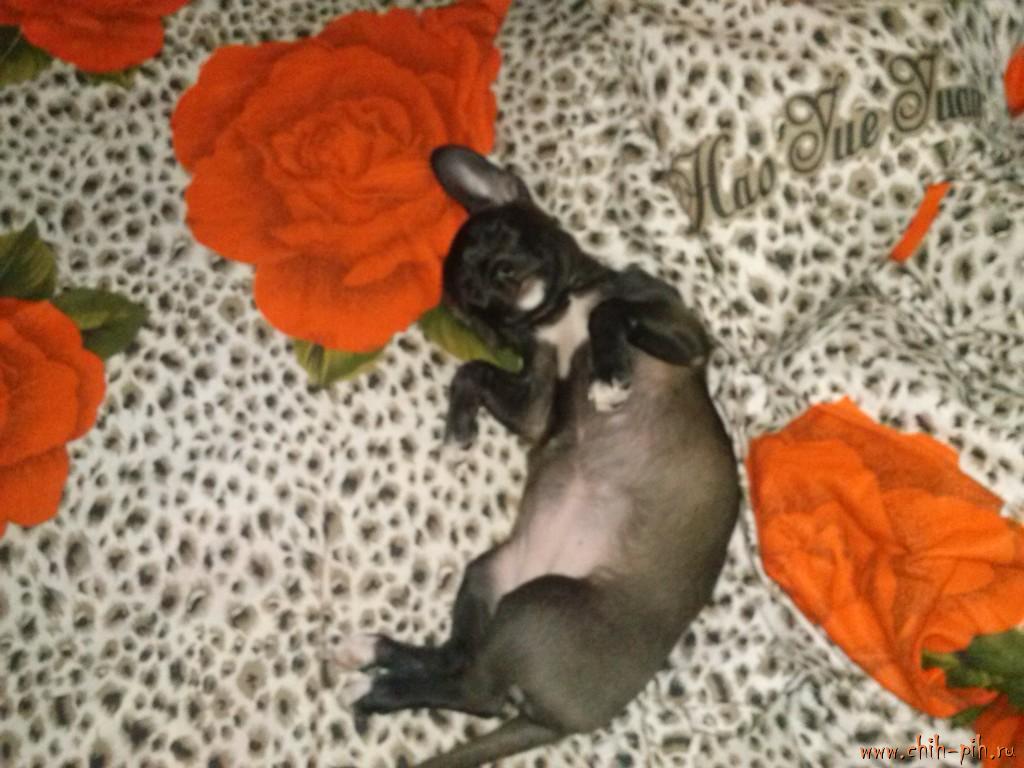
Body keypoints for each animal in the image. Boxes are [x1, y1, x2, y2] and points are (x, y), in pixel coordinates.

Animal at [336, 146, 740, 768]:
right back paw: (374, 674)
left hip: (503, 592)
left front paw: (608, 375)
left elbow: (609, 311)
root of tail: (560, 722)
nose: (498, 276)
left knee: (465, 670)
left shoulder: (684, 335)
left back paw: (376, 670)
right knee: (472, 686)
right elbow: (473, 369)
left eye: (504, 233)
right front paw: (458, 433)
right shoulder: (537, 396)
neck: (557, 313)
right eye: (476, 299)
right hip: (516, 592)